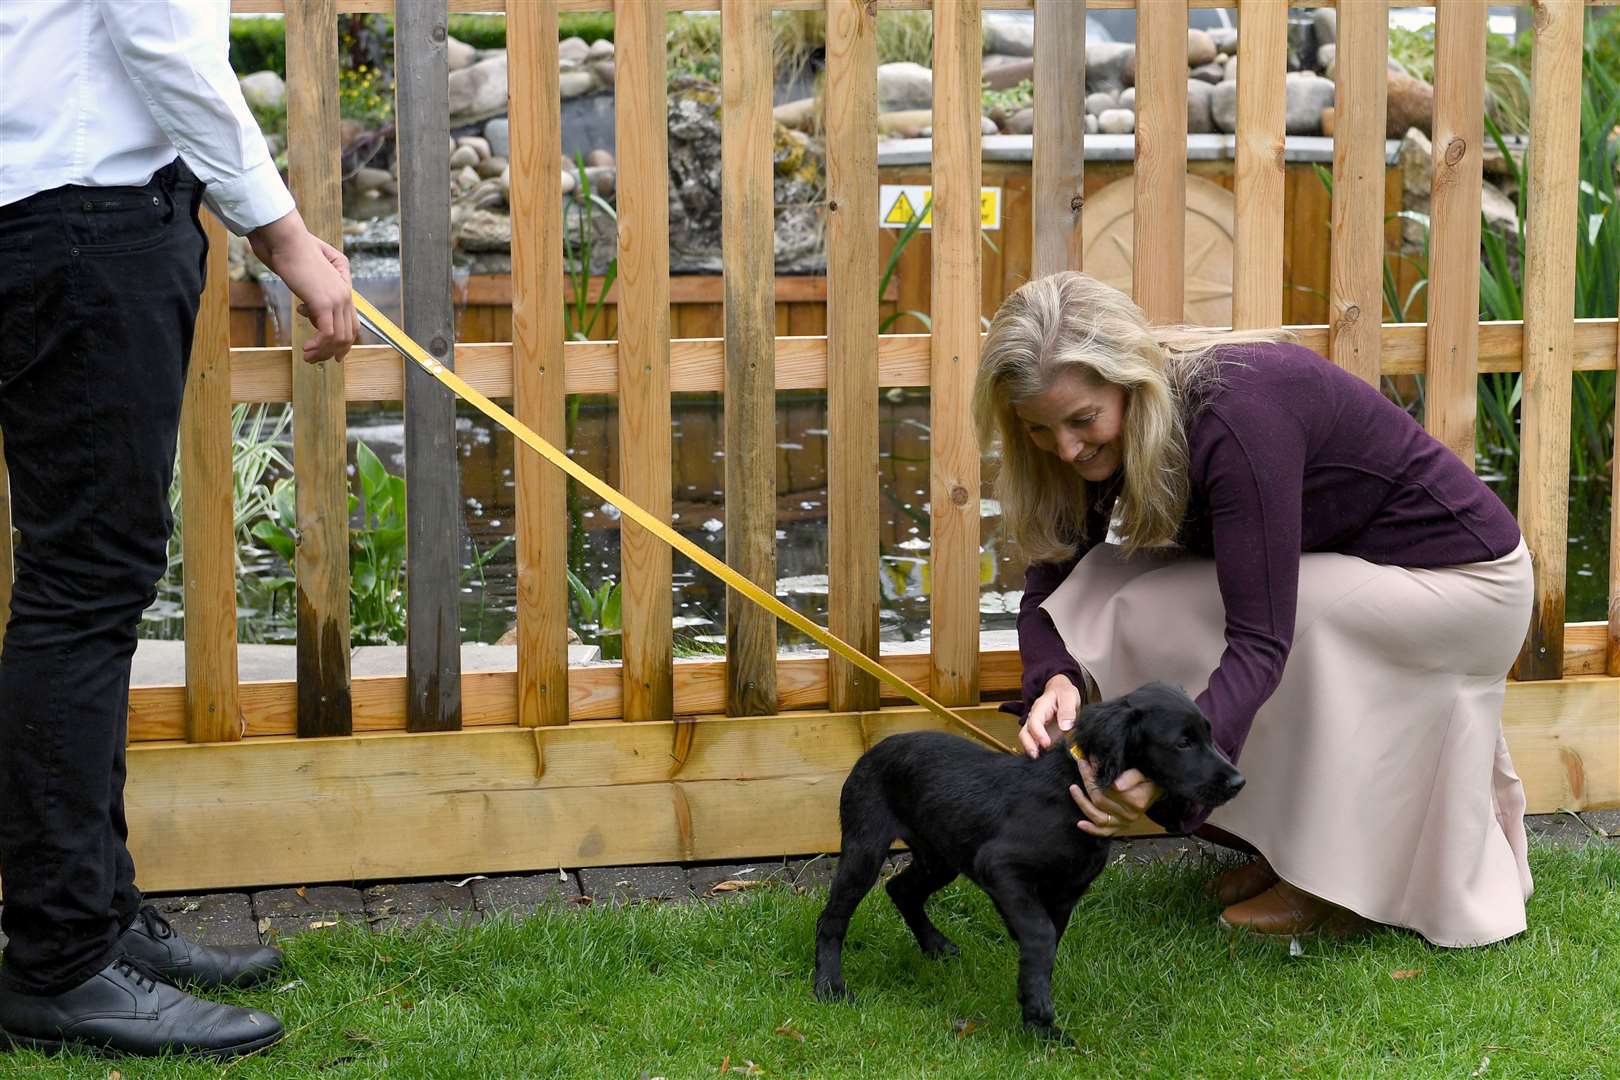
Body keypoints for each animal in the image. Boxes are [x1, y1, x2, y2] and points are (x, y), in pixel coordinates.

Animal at [816, 683, 1244, 1036]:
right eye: (1183, 742)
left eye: (1207, 735)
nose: (1238, 782)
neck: (1071, 792)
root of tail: (870, 752)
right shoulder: (1001, 868)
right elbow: (1040, 935)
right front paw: (1041, 1023)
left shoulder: (1066, 892)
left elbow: (1048, 943)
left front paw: (1034, 1013)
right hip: (865, 848)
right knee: (832, 919)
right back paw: (829, 987)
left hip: (940, 856)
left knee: (901, 889)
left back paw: (935, 945)